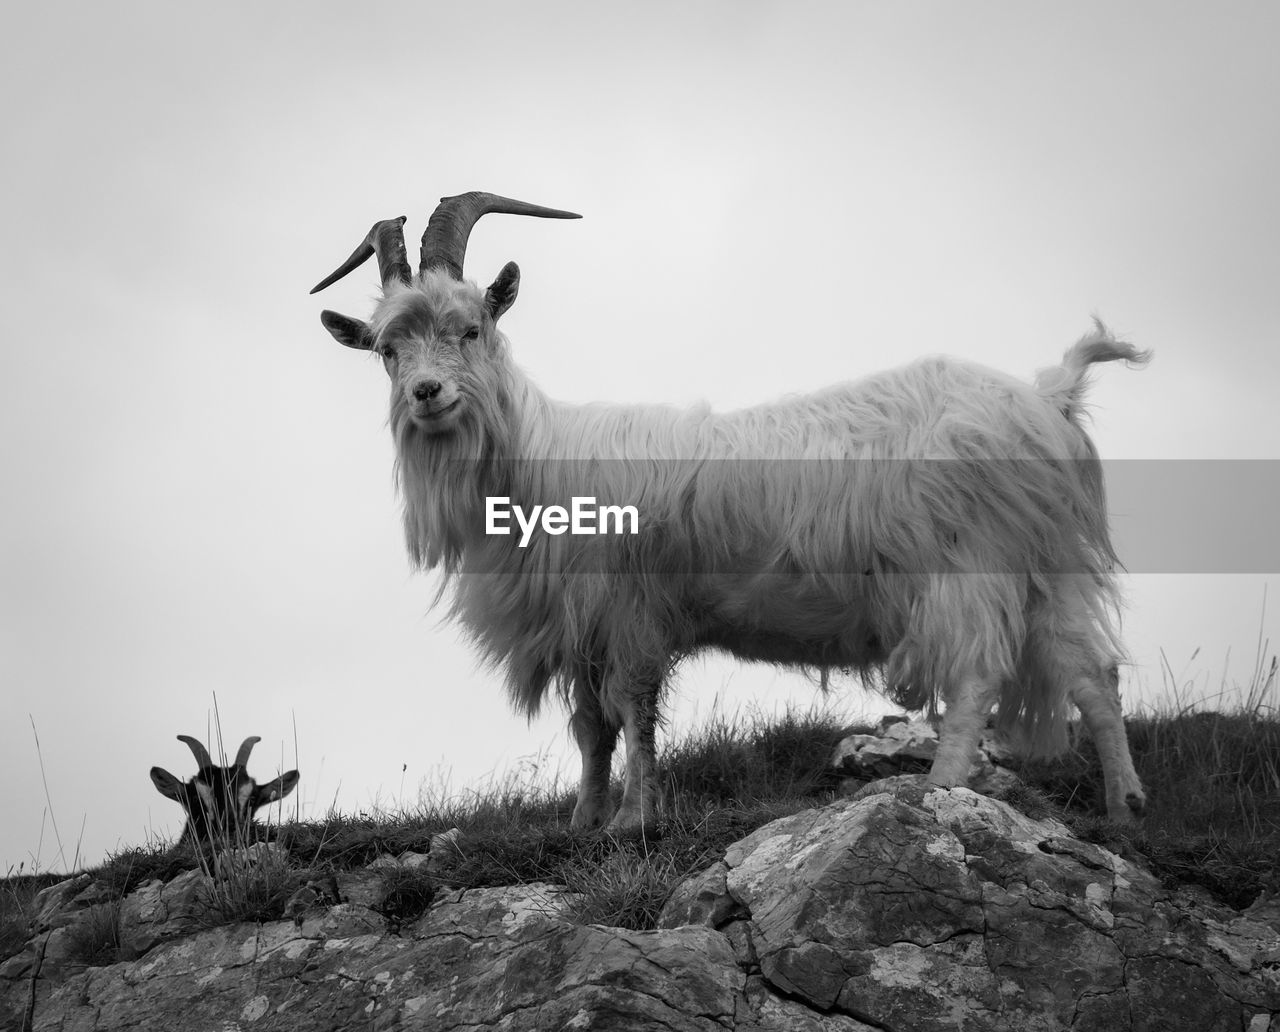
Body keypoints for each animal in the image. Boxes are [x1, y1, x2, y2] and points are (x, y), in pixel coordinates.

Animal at [312, 194, 1152, 834]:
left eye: (471, 328)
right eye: (386, 349)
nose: (427, 395)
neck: (539, 457)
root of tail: (1048, 394)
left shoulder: (629, 614)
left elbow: (634, 714)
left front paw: (633, 820)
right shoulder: (581, 626)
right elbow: (590, 728)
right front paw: (584, 820)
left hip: (970, 563)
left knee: (977, 674)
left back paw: (940, 789)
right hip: (1045, 568)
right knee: (1092, 674)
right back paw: (1125, 805)